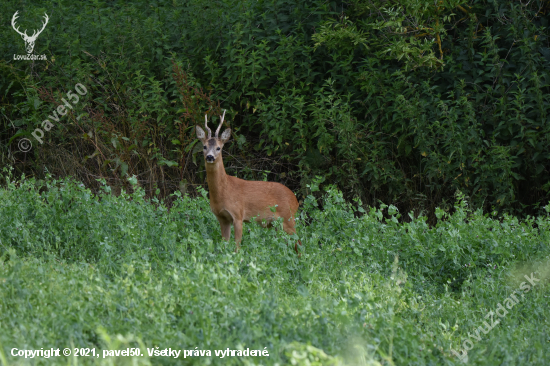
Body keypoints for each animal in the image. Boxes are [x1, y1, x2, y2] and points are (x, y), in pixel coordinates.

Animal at [196, 111, 304, 254]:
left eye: (218, 148)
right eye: (204, 146)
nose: (210, 157)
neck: (223, 191)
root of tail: (295, 199)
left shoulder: (238, 214)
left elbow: (237, 246)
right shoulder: (222, 218)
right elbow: (224, 244)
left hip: (288, 217)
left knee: (299, 242)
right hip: (277, 224)